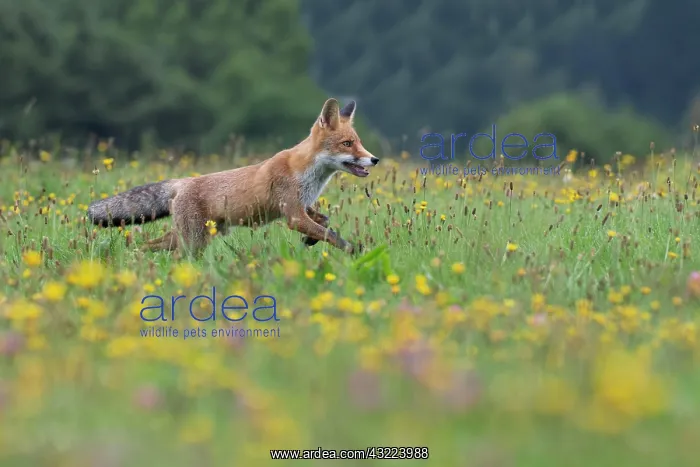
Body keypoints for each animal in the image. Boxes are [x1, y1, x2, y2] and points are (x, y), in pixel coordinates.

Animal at [87, 98, 379, 255]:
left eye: (358, 142)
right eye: (347, 144)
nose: (374, 159)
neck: (307, 173)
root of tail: (183, 181)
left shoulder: (300, 207)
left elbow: (324, 222)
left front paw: (311, 240)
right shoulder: (294, 215)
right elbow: (334, 237)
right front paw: (355, 252)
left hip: (193, 236)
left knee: (147, 245)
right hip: (193, 242)